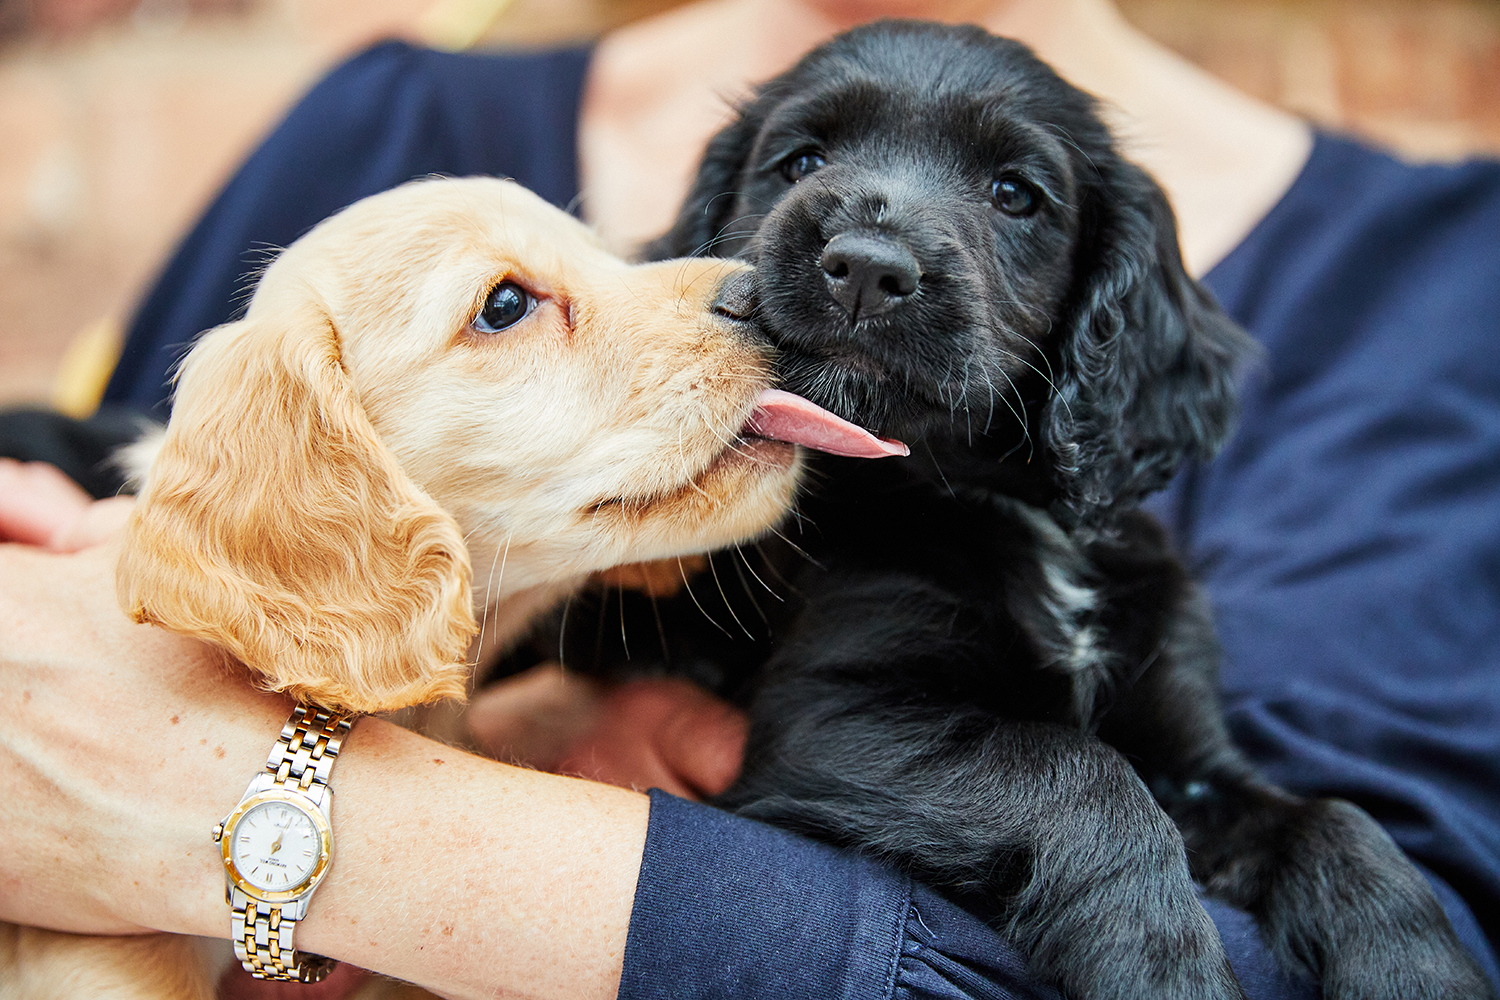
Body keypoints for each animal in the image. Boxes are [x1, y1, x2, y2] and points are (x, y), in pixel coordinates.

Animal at [558, 21, 1494, 1000]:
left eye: (1015, 194)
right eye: (801, 160)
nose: (865, 269)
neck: (992, 502)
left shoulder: (1189, 756)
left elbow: (1334, 820)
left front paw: (1423, 971)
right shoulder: (830, 720)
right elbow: (1078, 772)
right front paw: (1162, 967)